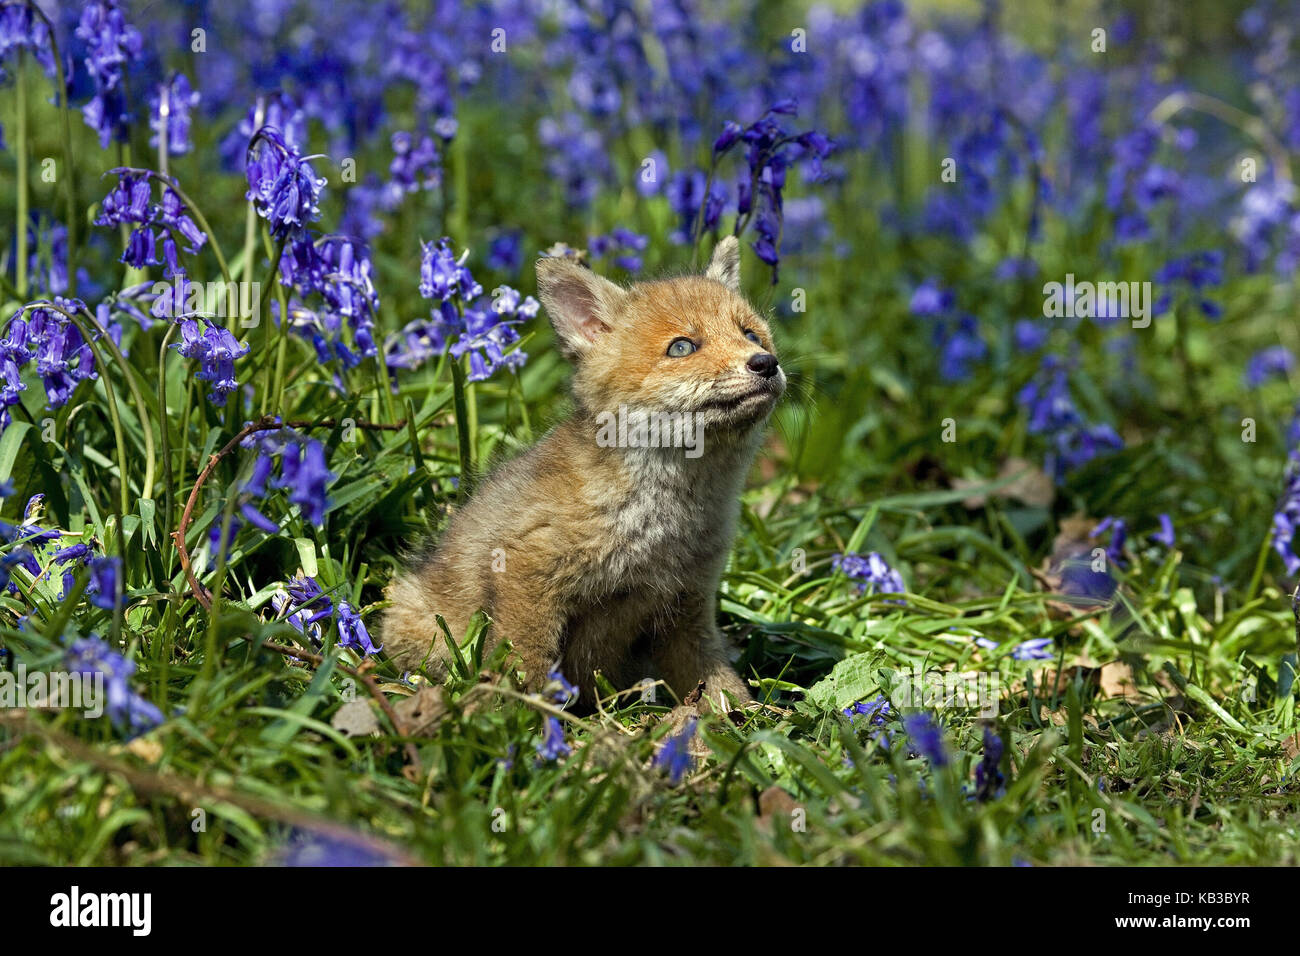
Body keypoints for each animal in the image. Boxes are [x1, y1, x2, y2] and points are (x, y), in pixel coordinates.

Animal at [379, 239, 785, 712]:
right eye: (682, 348)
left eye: (750, 334)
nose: (766, 363)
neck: (663, 524)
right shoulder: (525, 569)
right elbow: (527, 663)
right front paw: (524, 721)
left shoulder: (688, 604)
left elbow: (718, 683)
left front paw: (749, 722)